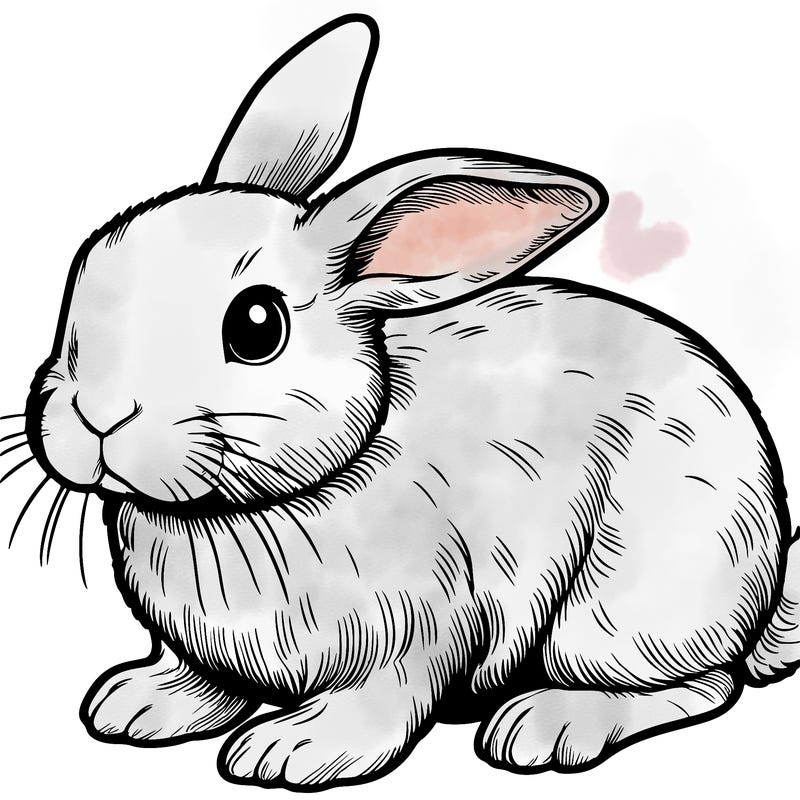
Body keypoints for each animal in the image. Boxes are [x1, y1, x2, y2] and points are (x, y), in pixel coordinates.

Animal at [17, 12, 800, 792]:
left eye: (256, 326)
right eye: (88, 267)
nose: (96, 416)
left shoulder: (422, 628)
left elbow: (382, 702)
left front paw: (292, 751)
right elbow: (206, 681)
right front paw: (138, 704)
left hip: (624, 611)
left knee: (703, 685)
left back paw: (547, 726)